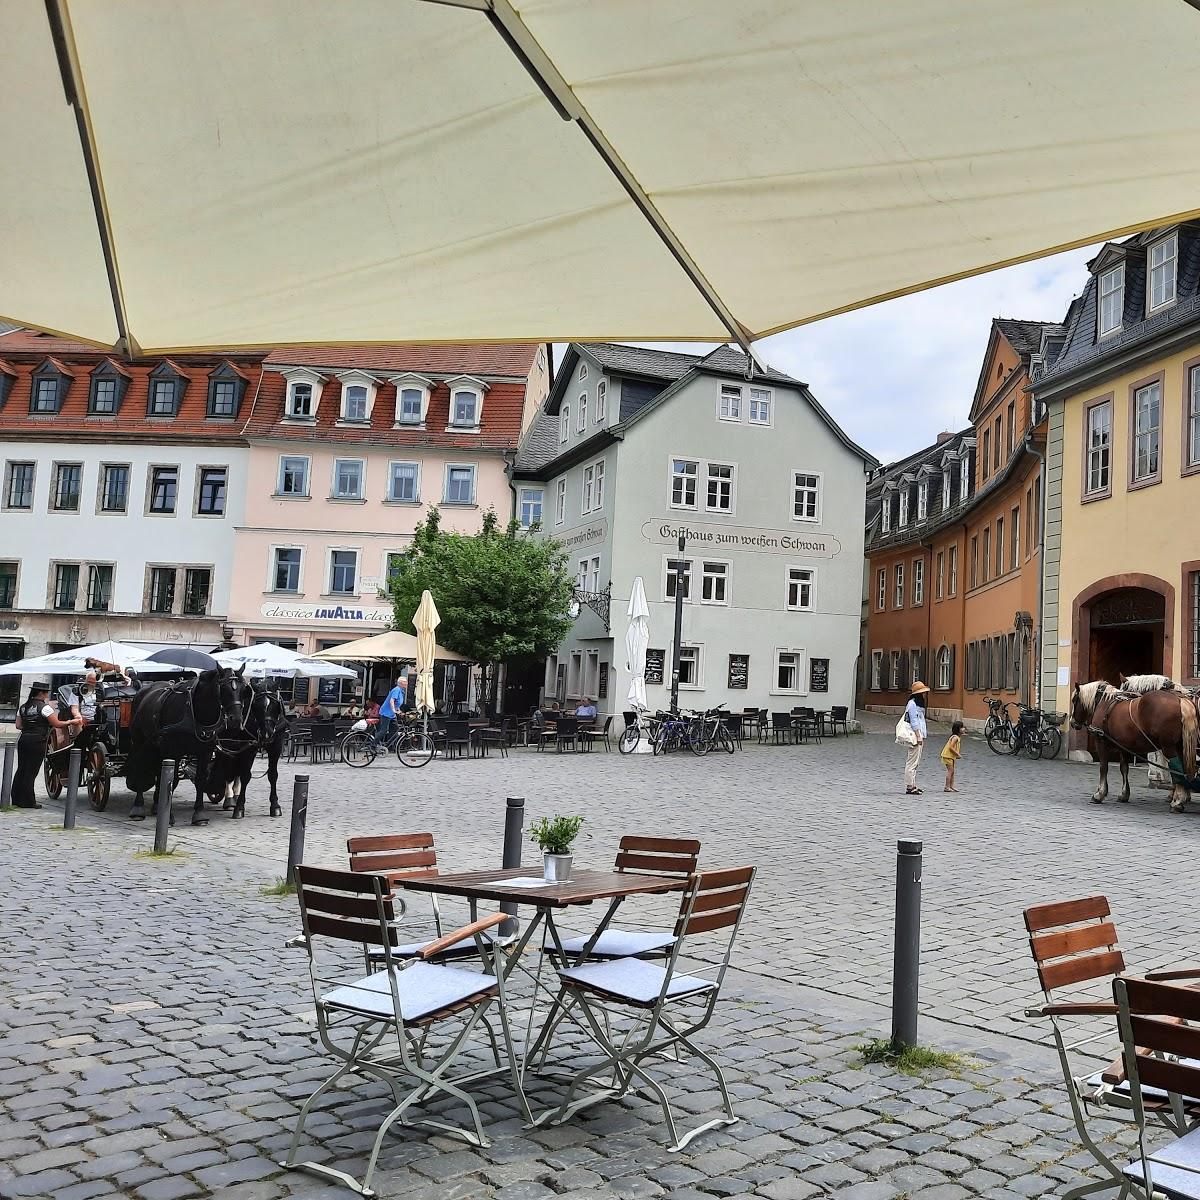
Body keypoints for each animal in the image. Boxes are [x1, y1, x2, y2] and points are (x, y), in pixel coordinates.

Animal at [126, 667, 246, 825]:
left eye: (243, 689)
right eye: (223, 689)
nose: (236, 719)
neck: (194, 713)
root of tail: (143, 690)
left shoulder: (205, 752)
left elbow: (200, 780)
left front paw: (199, 815)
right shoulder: (173, 750)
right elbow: (173, 781)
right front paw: (169, 817)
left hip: (157, 747)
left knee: (158, 771)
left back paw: (156, 805)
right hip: (140, 742)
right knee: (141, 767)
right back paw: (138, 808)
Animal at [206, 681, 288, 820]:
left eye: (275, 704)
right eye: (256, 706)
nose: (267, 733)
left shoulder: (276, 746)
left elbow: (273, 775)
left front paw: (275, 806)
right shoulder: (248, 748)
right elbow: (245, 776)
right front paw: (239, 808)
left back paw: (234, 795)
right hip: (229, 745)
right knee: (228, 771)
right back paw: (229, 799)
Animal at [1075, 681, 1195, 811]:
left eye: (1074, 700)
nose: (1072, 723)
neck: (1104, 703)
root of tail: (1180, 698)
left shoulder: (1101, 741)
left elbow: (1103, 767)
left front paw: (1099, 794)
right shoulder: (1122, 745)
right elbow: (1124, 768)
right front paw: (1124, 794)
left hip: (1168, 746)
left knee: (1176, 770)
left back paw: (1177, 801)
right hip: (1180, 746)